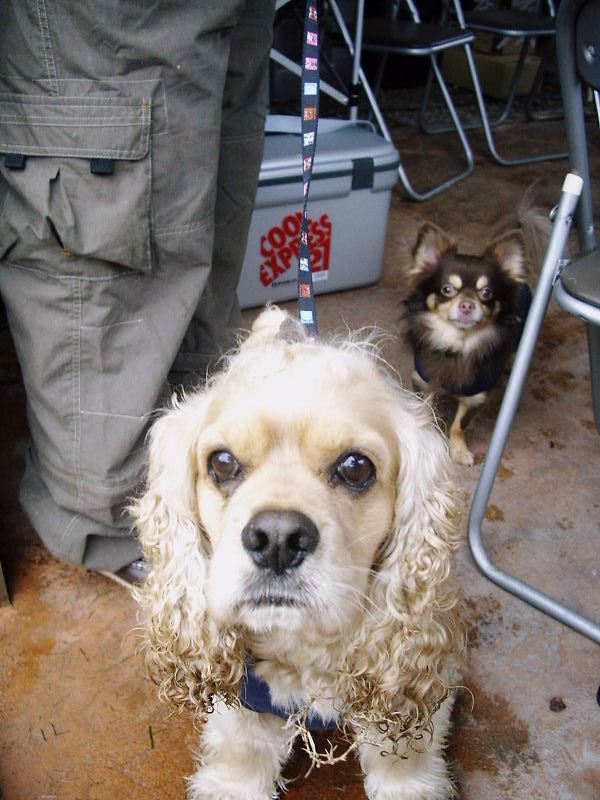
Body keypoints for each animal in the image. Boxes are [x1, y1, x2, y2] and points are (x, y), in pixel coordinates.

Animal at [132, 306, 463, 800]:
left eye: (356, 467)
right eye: (222, 462)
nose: (277, 539)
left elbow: (402, 753)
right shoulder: (244, 701)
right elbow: (242, 751)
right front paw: (235, 784)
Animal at [405, 222, 533, 466]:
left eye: (486, 293)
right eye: (447, 289)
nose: (467, 304)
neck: (457, 346)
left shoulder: (477, 396)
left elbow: (459, 425)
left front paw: (459, 450)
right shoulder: (423, 382)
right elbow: (425, 413)